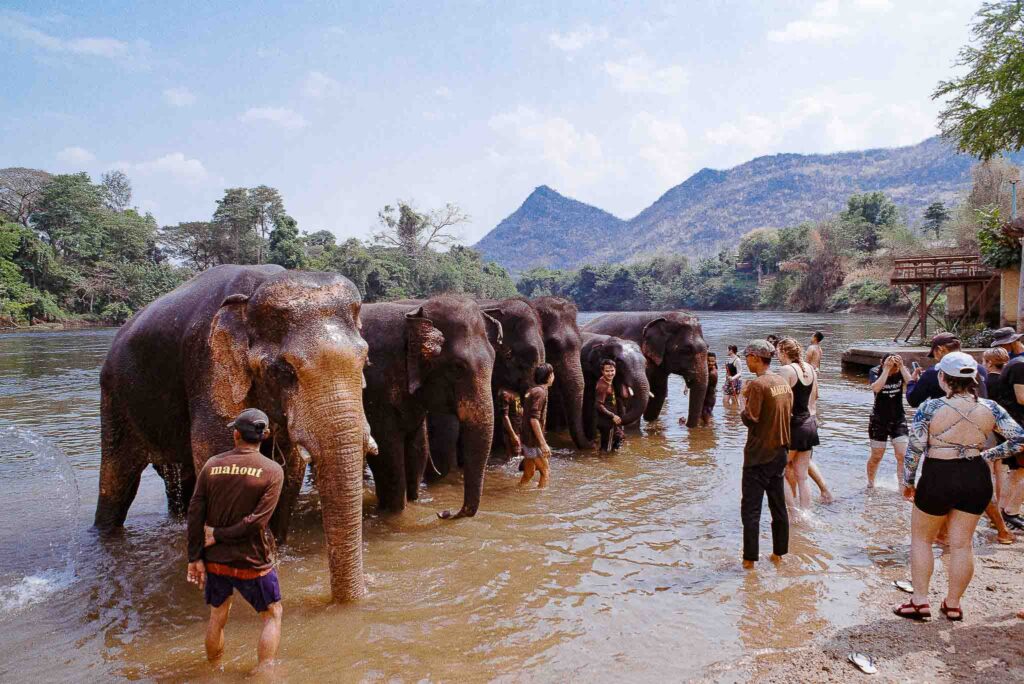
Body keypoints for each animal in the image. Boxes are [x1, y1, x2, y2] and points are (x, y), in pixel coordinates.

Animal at [96, 264, 372, 602]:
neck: (255, 291)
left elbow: (290, 470)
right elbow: (218, 456)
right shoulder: (208, 368)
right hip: (115, 399)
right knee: (117, 481)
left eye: (365, 361)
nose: (355, 599)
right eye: (284, 371)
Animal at [362, 294, 501, 518]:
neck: (412, 315)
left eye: (495, 358)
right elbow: (387, 456)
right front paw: (396, 514)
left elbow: (417, 450)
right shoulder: (375, 389)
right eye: (457, 367)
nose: (444, 512)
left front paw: (413, 502)